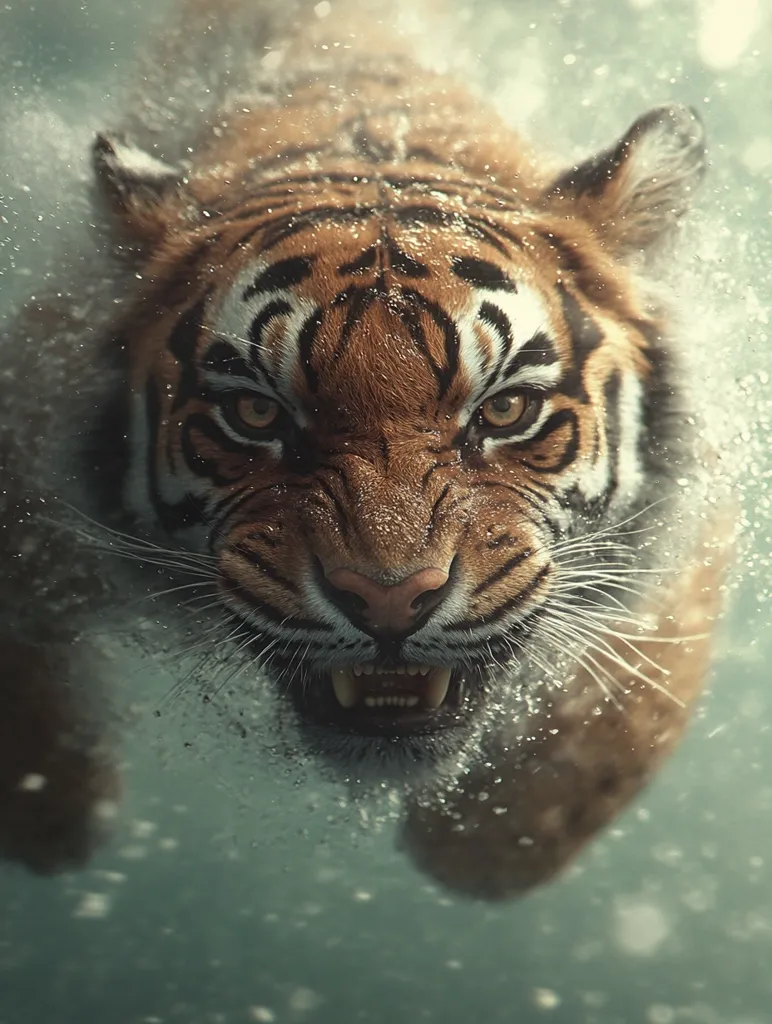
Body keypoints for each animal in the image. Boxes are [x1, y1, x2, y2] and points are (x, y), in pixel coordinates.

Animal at [0, 0, 730, 896]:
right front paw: (57, 810)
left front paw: (490, 845)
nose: (389, 602)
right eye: (256, 414)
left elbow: (630, 697)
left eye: (506, 410)